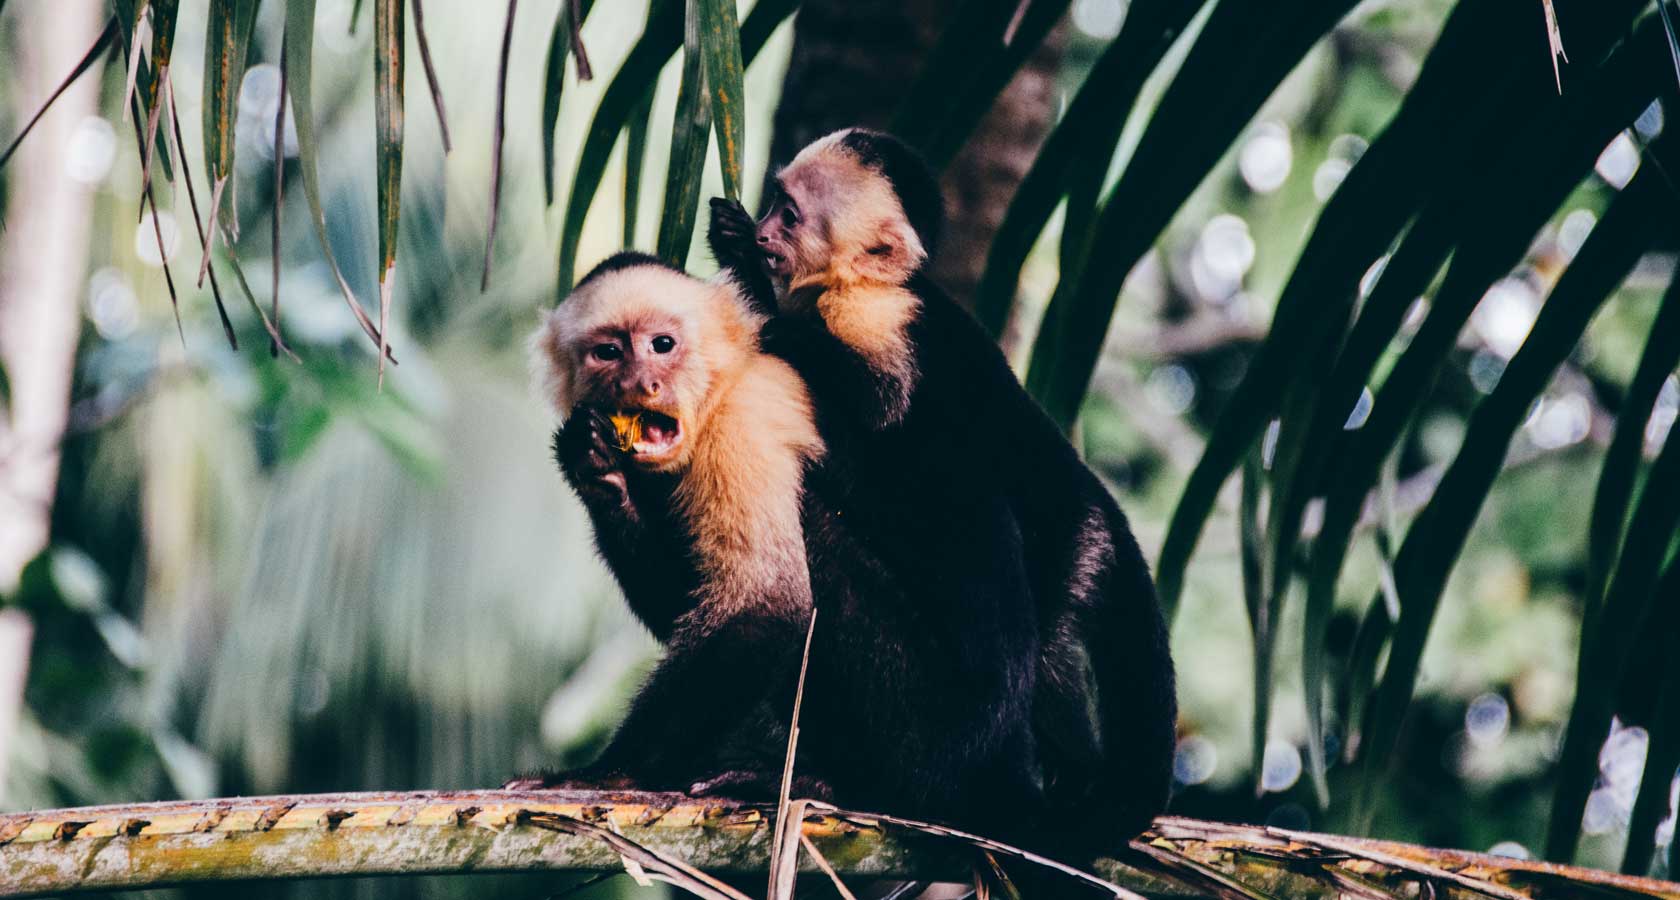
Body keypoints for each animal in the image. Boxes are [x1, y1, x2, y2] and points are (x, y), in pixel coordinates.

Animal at [522, 252, 1049, 842]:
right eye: (608, 352)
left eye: (662, 344)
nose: (642, 382)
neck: (720, 385)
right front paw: (596, 471)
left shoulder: (744, 422)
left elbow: (765, 606)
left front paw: (610, 771)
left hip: (934, 724)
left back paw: (852, 787)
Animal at [707, 127, 1178, 855]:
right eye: (773, 204)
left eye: (789, 214)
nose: (762, 234)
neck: (862, 281)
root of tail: (1098, 502)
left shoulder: (876, 318)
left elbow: (874, 409)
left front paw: (764, 303)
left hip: (1066, 545)